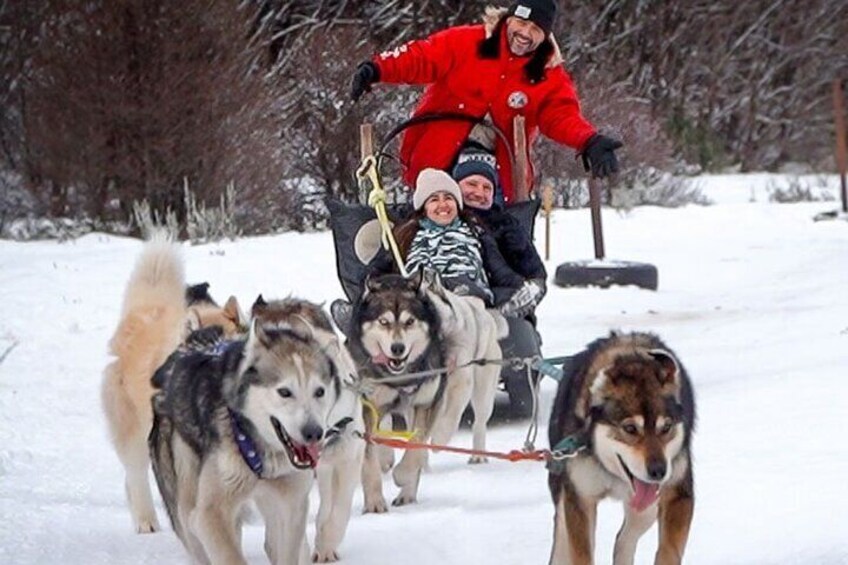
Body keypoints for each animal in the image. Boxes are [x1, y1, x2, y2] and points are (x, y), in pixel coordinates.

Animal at [151, 318, 340, 564]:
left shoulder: (292, 505)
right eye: (284, 392)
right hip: (186, 504)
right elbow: (230, 555)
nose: (314, 432)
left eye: (319, 391)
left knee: (272, 544)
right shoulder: (210, 514)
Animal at [548, 330, 700, 564]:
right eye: (630, 428)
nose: (658, 471)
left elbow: (669, 551)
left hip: (647, 509)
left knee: (624, 539)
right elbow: (581, 553)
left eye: (666, 427)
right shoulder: (580, 498)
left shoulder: (678, 494)